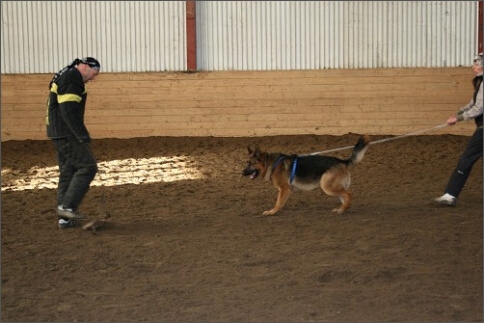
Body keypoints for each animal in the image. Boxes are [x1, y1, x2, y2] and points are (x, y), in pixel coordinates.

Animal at [242, 135, 370, 216]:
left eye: (251, 164)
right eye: (247, 163)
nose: (242, 173)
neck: (271, 163)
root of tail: (343, 161)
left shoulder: (284, 189)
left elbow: (278, 203)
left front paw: (272, 212)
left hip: (326, 186)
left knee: (349, 194)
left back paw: (342, 210)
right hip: (331, 187)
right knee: (344, 197)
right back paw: (342, 209)